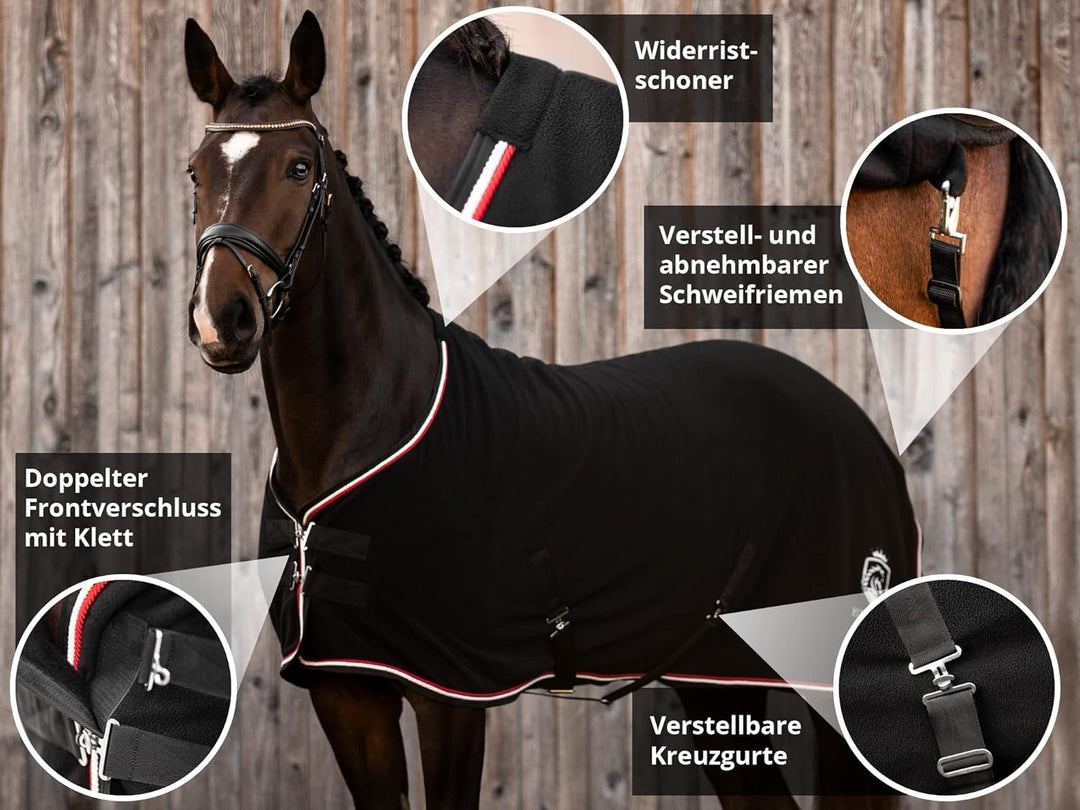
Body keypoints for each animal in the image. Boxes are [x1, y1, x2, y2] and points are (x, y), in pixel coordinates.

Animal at [184, 11, 915, 809]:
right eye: (197, 171)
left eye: (298, 168)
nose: (223, 320)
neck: (367, 437)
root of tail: (856, 425)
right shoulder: (345, 692)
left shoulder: (449, 697)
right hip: (718, 677)